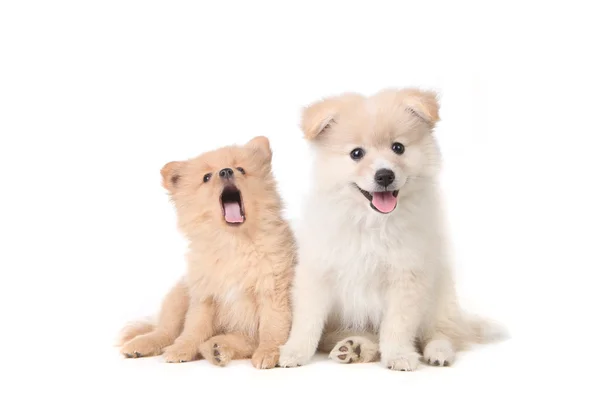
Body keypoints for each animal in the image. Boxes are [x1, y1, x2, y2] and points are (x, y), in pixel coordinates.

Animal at [117, 138, 296, 368]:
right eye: (206, 177)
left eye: (241, 169)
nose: (226, 171)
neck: (233, 243)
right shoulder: (204, 297)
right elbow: (193, 328)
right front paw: (182, 349)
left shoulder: (273, 291)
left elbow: (272, 328)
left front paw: (268, 352)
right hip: (179, 296)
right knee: (165, 330)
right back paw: (140, 345)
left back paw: (217, 349)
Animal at [278, 89, 504, 370]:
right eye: (356, 153)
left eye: (398, 148)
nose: (384, 175)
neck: (371, 222)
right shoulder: (318, 271)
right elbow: (307, 320)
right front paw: (294, 352)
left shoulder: (407, 276)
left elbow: (398, 325)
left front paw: (398, 355)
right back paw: (353, 348)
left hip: (441, 298)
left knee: (442, 333)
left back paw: (438, 352)